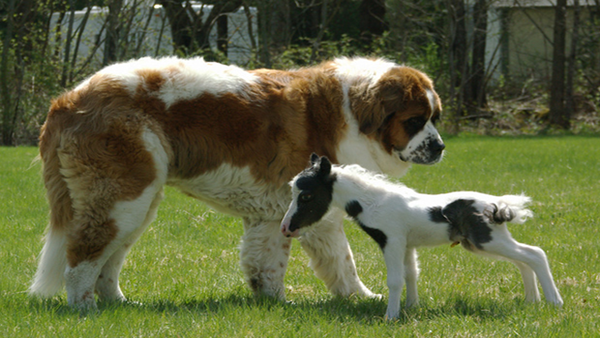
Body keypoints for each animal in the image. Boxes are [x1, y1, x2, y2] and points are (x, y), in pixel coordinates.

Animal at [31, 56, 446, 310]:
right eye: (415, 120)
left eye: (435, 118)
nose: (440, 147)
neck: (350, 112)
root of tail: (68, 98)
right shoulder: (318, 210)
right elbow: (343, 261)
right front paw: (361, 297)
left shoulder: (274, 213)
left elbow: (269, 262)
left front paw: (274, 303)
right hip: (123, 197)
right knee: (83, 256)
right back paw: (85, 309)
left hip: (138, 204)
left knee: (109, 259)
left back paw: (119, 305)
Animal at [282, 155, 564, 320]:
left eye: (306, 196)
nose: (287, 228)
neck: (373, 202)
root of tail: (499, 204)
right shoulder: (407, 245)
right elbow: (411, 273)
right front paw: (411, 307)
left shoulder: (392, 241)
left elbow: (395, 279)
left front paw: (391, 316)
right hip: (483, 243)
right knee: (523, 260)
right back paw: (531, 300)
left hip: (487, 240)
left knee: (535, 254)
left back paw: (555, 302)